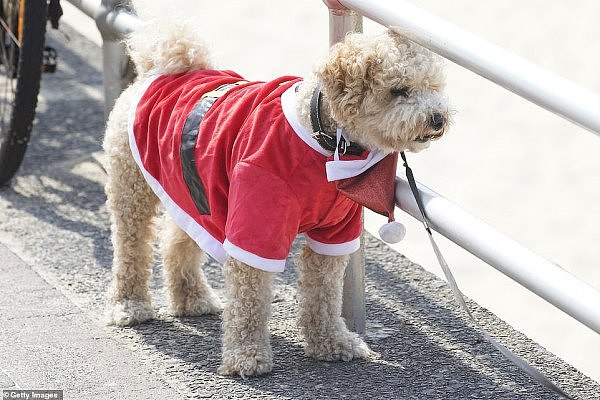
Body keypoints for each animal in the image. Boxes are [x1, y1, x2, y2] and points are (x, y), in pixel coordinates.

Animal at [104, 19, 450, 378]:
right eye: (398, 90)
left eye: (431, 86)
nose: (438, 118)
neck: (324, 139)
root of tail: (159, 70)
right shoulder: (257, 223)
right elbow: (249, 299)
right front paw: (247, 356)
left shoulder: (335, 231)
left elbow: (324, 293)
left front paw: (332, 342)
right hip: (131, 185)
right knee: (131, 246)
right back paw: (129, 304)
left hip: (193, 193)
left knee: (178, 242)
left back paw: (192, 299)